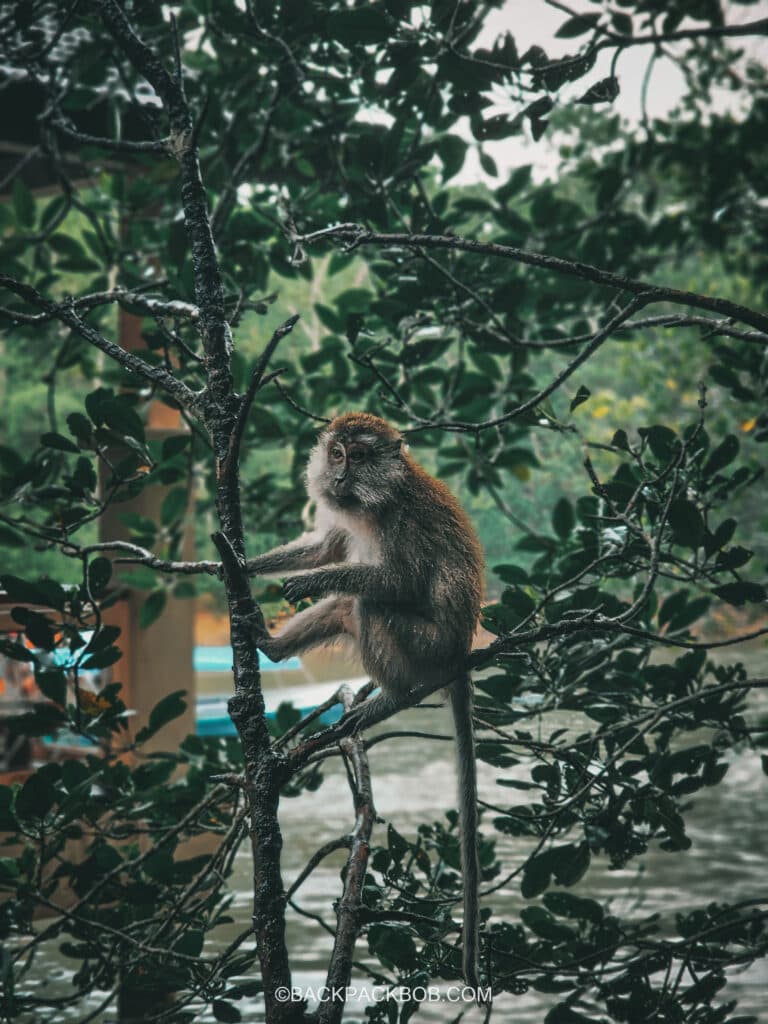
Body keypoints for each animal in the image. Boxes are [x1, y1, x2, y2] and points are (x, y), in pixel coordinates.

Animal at [248, 412, 484, 989]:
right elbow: (327, 545)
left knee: (368, 602)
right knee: (345, 607)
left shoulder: (402, 523)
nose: (337, 475)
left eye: (357, 457)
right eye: (336, 454)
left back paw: (390, 696)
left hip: (427, 646)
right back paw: (273, 646)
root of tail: (461, 649)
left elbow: (397, 580)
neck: (375, 500)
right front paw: (236, 564)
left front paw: (309, 580)